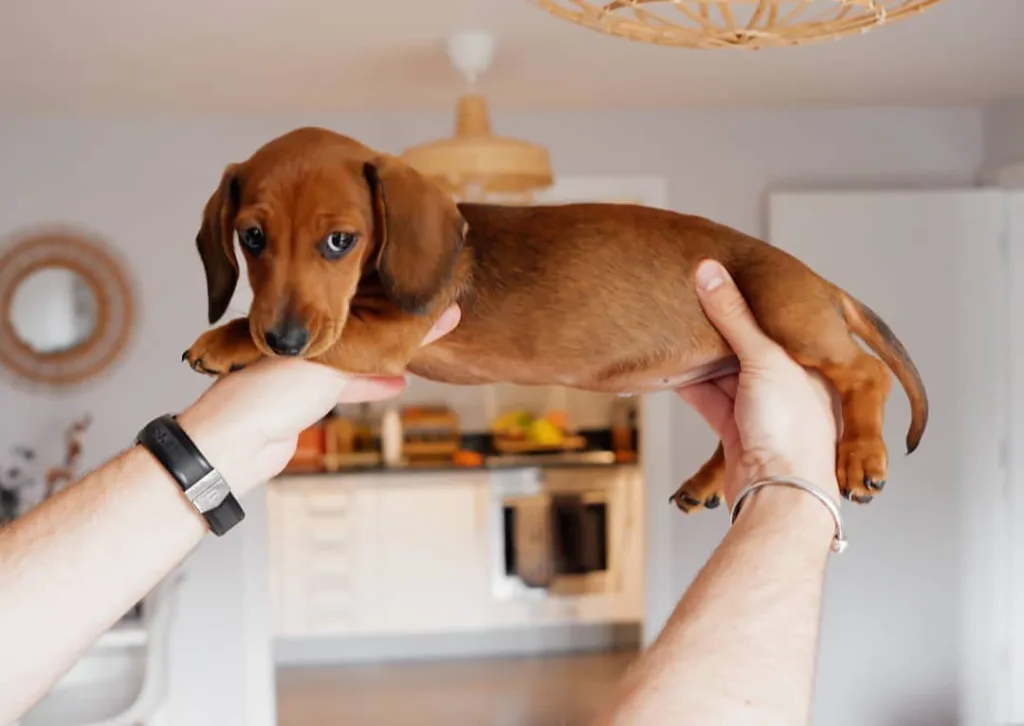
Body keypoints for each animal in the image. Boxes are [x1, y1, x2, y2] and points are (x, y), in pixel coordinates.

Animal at [184, 125, 929, 509]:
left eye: (341, 240)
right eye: (252, 238)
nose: (283, 339)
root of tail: (822, 280)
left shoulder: (385, 331)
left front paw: (227, 343)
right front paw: (231, 332)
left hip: (788, 321)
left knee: (865, 374)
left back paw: (862, 455)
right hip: (733, 370)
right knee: (739, 435)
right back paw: (703, 483)